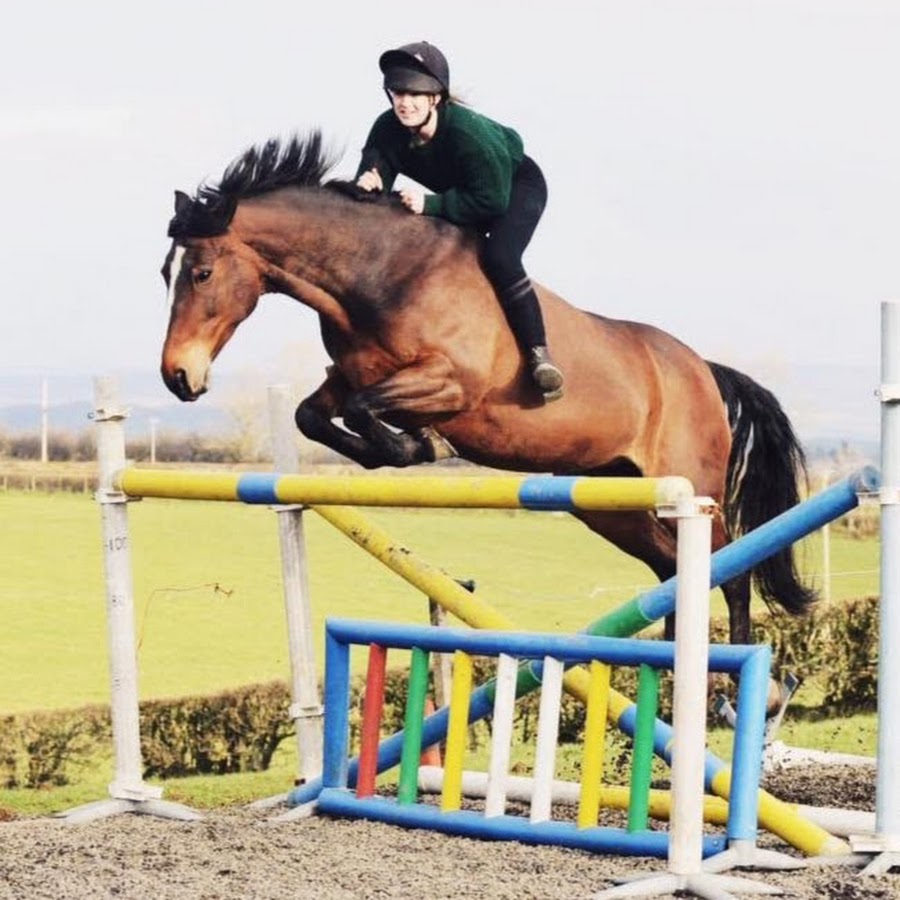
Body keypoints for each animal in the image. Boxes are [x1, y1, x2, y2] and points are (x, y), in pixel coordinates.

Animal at [159, 132, 815, 657]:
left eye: (202, 273)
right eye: (167, 274)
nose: (177, 377)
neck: (381, 274)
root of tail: (703, 369)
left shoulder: (451, 383)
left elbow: (367, 410)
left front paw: (420, 446)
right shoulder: (348, 376)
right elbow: (312, 415)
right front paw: (403, 448)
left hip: (691, 490)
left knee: (728, 568)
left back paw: (730, 685)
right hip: (611, 498)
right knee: (671, 568)